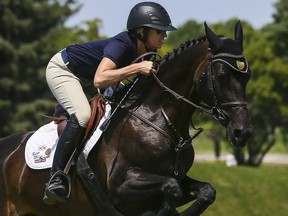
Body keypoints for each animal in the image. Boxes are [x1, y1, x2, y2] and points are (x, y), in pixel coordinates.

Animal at [0, 22, 252, 216]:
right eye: (222, 75)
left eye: (247, 77)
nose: (243, 132)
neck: (157, 117)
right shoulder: (120, 185)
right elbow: (171, 188)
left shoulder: (178, 177)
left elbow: (206, 192)